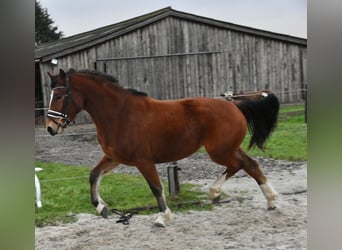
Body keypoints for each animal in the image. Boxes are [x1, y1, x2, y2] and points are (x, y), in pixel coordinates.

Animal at [45, 68, 280, 227]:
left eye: (59, 96)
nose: (50, 127)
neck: (119, 114)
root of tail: (234, 104)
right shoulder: (114, 157)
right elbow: (94, 175)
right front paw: (101, 207)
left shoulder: (143, 160)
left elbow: (156, 187)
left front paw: (163, 217)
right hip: (227, 148)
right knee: (249, 164)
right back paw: (265, 200)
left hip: (220, 151)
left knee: (241, 165)